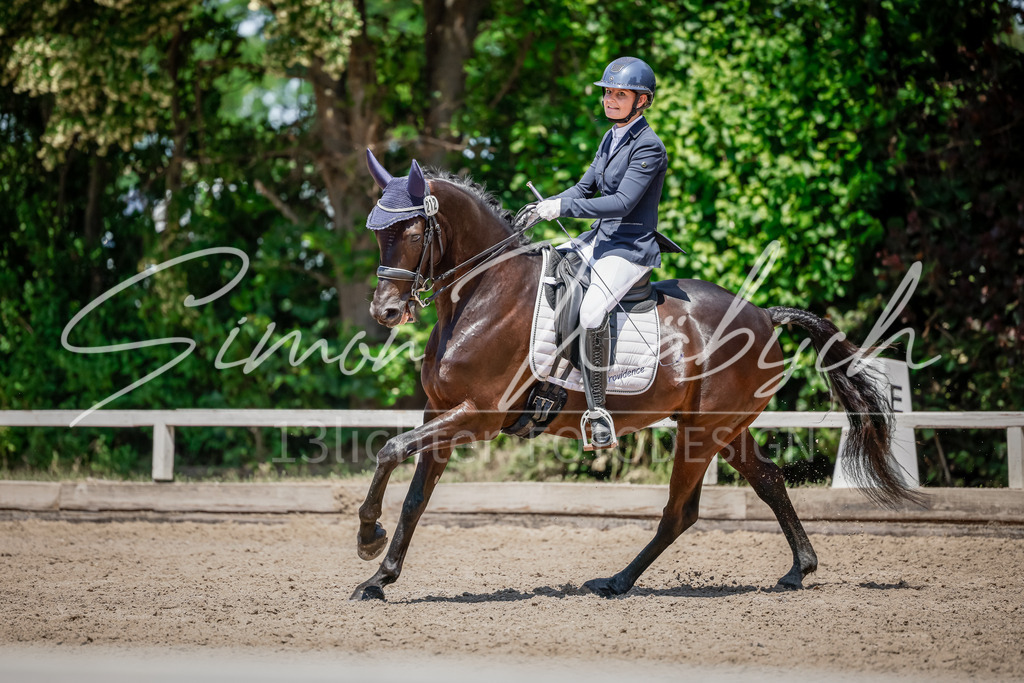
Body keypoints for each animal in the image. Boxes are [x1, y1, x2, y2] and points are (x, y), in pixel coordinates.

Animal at [351, 151, 916, 601]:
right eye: (377, 233)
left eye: (414, 231)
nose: (385, 311)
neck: (482, 294)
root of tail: (762, 313)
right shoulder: (441, 412)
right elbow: (416, 497)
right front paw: (378, 578)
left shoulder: (478, 416)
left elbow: (389, 451)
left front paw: (367, 538)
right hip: (723, 429)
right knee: (768, 481)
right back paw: (798, 570)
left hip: (702, 432)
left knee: (680, 513)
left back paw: (616, 582)